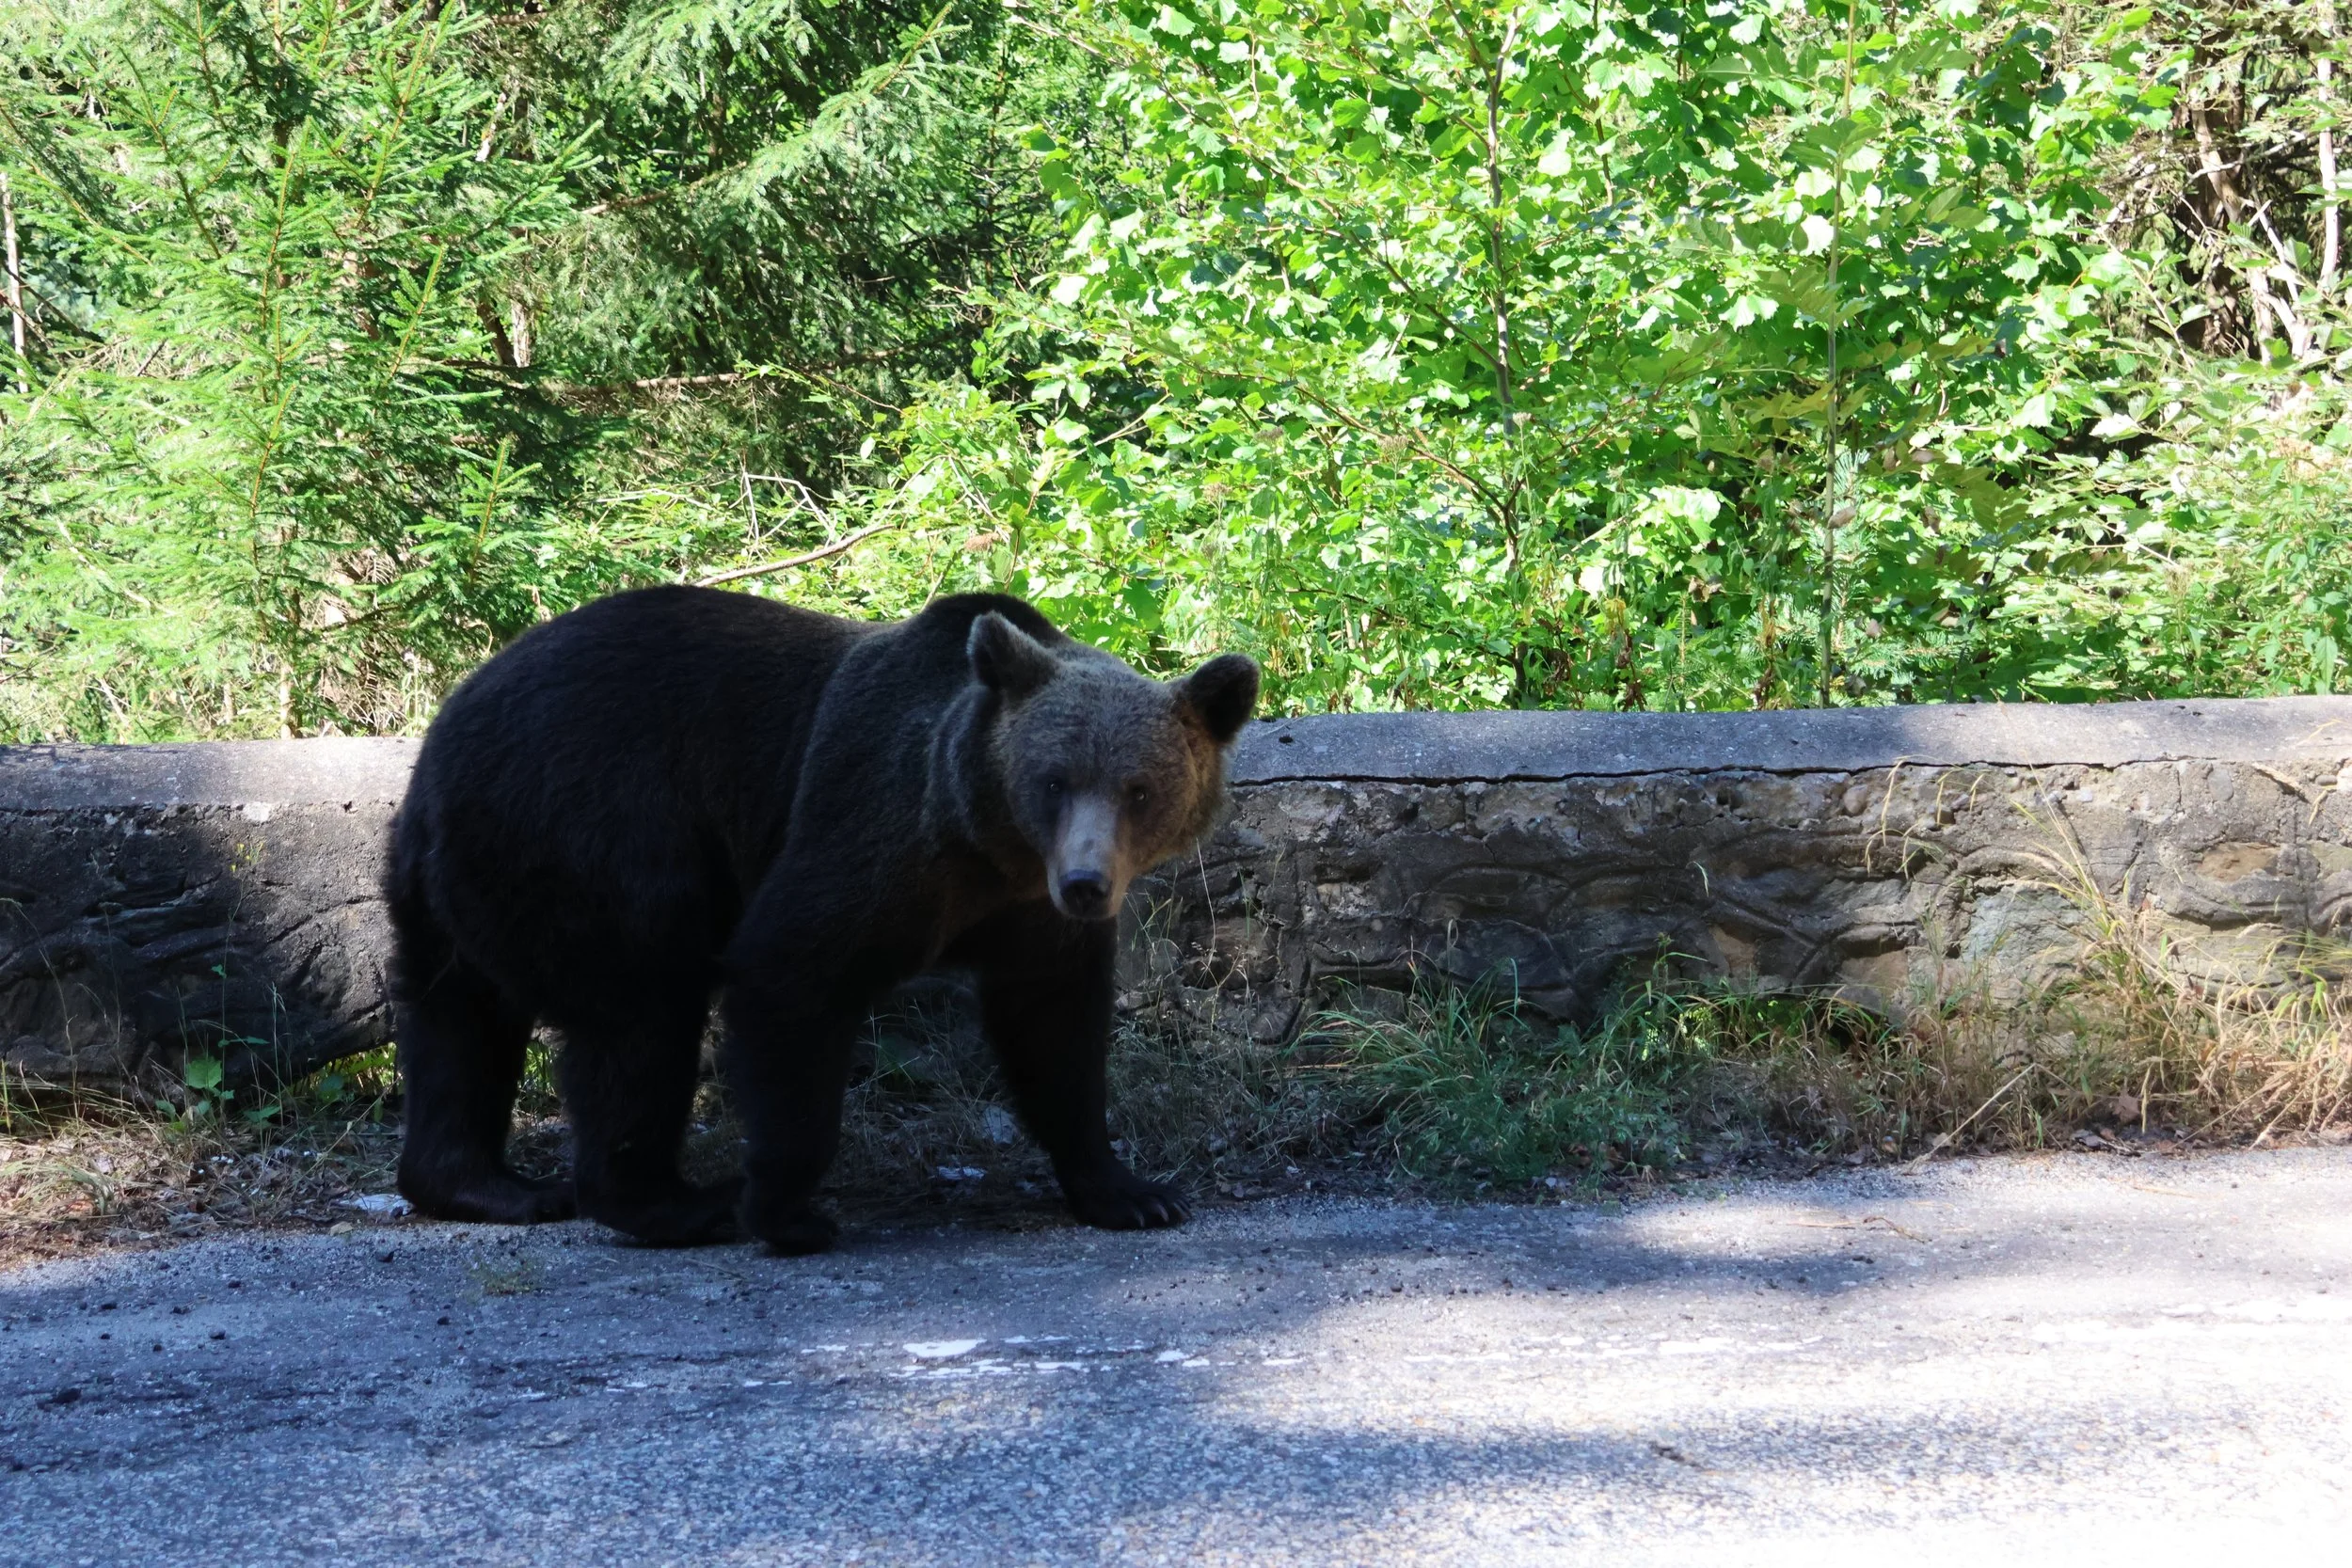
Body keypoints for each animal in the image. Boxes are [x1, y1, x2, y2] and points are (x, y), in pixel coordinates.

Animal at [385, 585, 1259, 1254]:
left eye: (1139, 788)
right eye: (1053, 780)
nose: (1084, 883)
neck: (985, 845)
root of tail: (443, 739)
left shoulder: (1030, 920)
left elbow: (1056, 1031)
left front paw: (1132, 1191)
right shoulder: (875, 831)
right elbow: (791, 973)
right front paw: (788, 1210)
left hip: (449, 885)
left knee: (457, 1023)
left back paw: (484, 1182)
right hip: (596, 831)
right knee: (640, 1014)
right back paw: (672, 1200)